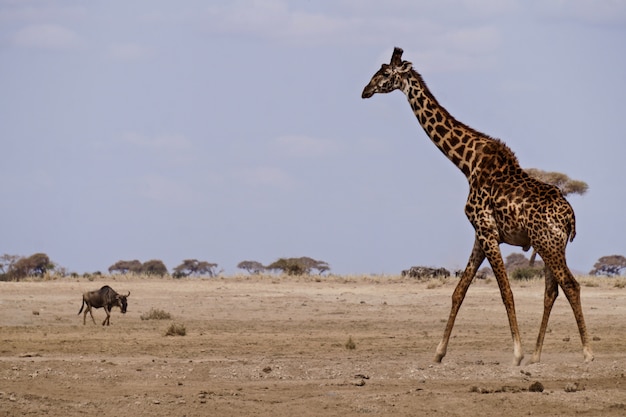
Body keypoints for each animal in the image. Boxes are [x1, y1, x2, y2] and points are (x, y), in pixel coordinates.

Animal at [358, 46, 592, 364]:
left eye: (384, 72)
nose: (365, 90)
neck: (467, 164)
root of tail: (571, 217)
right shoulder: (480, 236)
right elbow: (459, 290)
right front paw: (438, 353)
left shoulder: (487, 231)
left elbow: (506, 291)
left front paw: (516, 354)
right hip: (550, 244)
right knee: (551, 291)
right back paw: (537, 355)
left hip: (549, 244)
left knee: (570, 285)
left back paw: (586, 352)